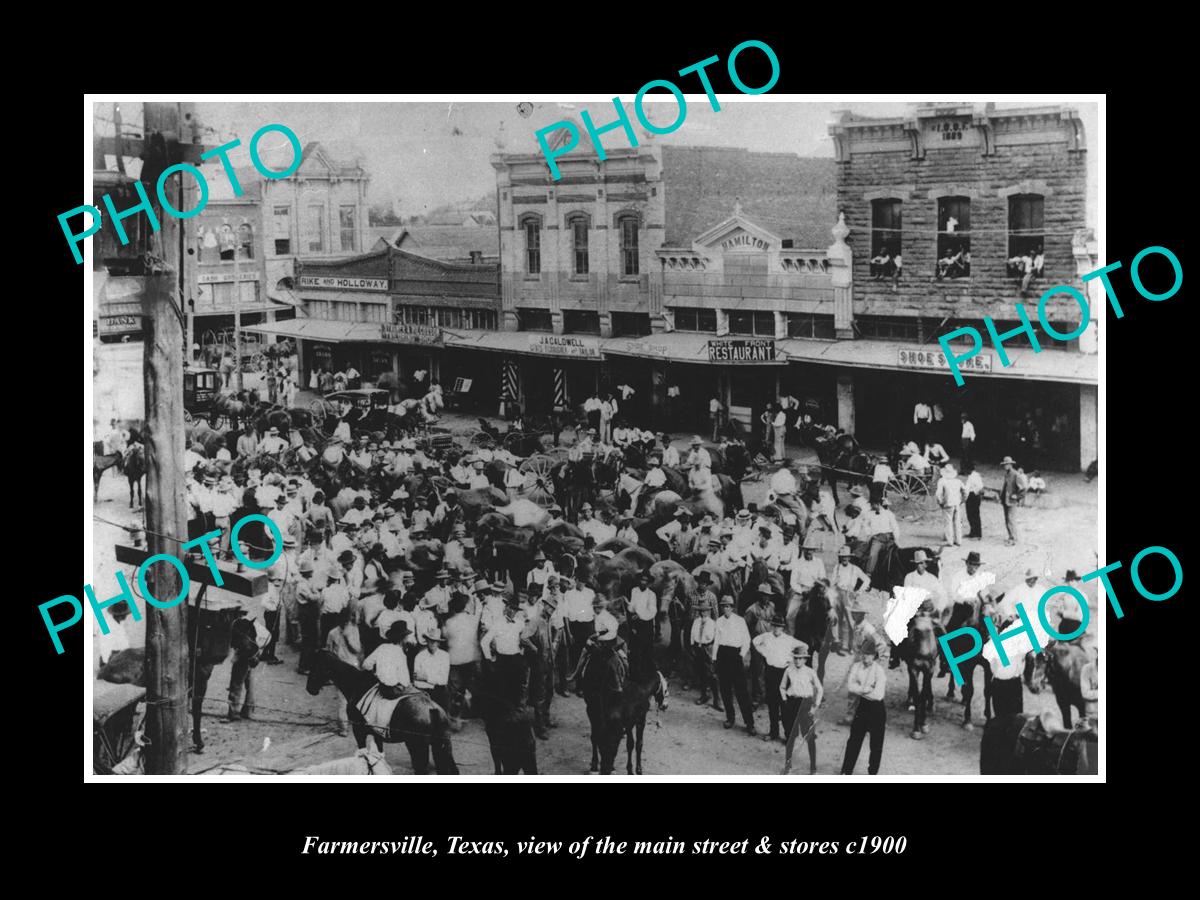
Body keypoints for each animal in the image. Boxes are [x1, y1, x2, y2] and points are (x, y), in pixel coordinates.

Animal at [304, 648, 458, 777]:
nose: (309, 688)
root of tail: (432, 708)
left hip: (417, 747)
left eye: (316, 667)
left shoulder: (358, 731)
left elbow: (363, 754)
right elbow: (378, 755)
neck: (357, 684)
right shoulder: (377, 734)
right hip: (443, 745)